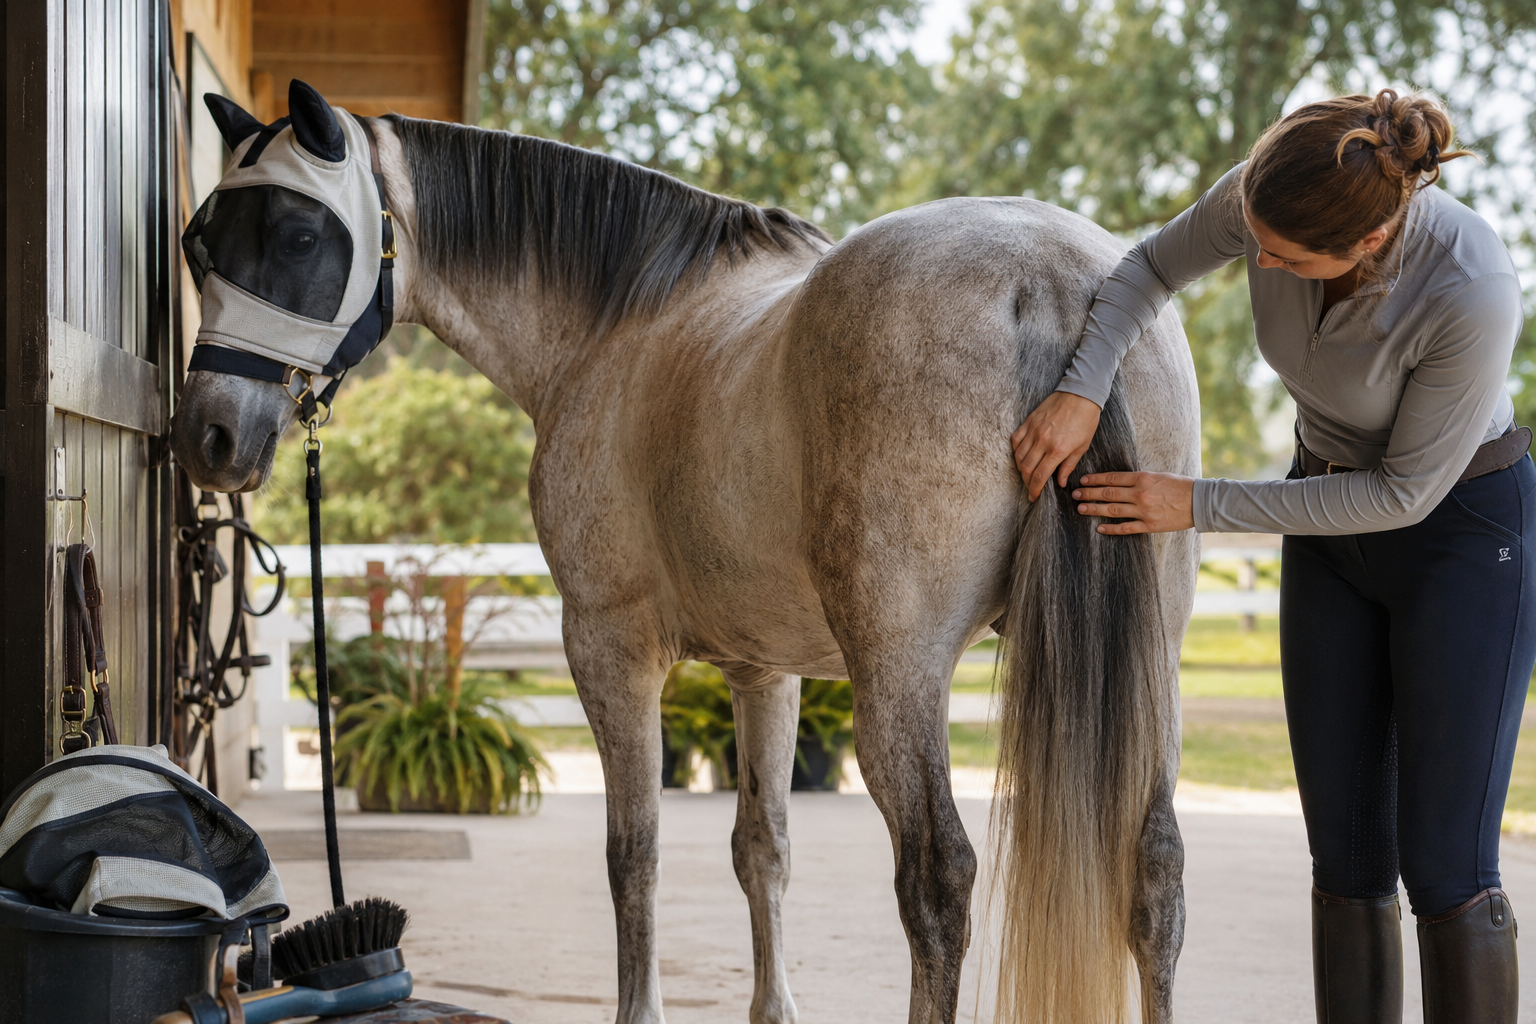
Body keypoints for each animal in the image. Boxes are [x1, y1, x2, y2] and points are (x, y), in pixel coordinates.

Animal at [170, 80, 1201, 1024]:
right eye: (199, 244)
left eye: (301, 238)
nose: (209, 439)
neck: (619, 325)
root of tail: (1056, 285)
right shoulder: (765, 669)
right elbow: (762, 849)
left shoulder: (609, 648)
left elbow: (635, 853)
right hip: (1143, 667)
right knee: (1152, 870)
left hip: (900, 673)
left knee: (937, 880)